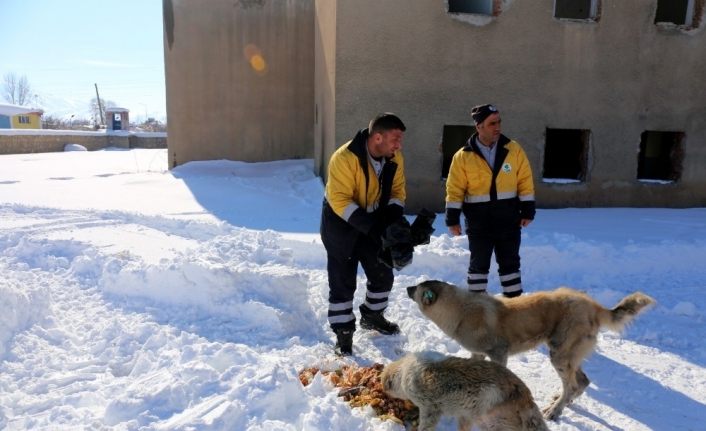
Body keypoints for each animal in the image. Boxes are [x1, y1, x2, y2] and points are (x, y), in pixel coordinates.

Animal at [380, 352, 544, 430]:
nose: (384, 391)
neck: (404, 371)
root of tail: (525, 394)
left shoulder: (430, 408)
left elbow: (426, 425)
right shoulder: (463, 415)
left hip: (495, 423)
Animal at [408, 280, 656, 422]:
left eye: (417, 289)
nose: (408, 287)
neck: (460, 310)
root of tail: (593, 305)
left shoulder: (499, 353)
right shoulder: (478, 353)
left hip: (559, 354)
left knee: (572, 384)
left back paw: (555, 410)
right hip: (566, 354)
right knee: (581, 381)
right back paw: (563, 402)